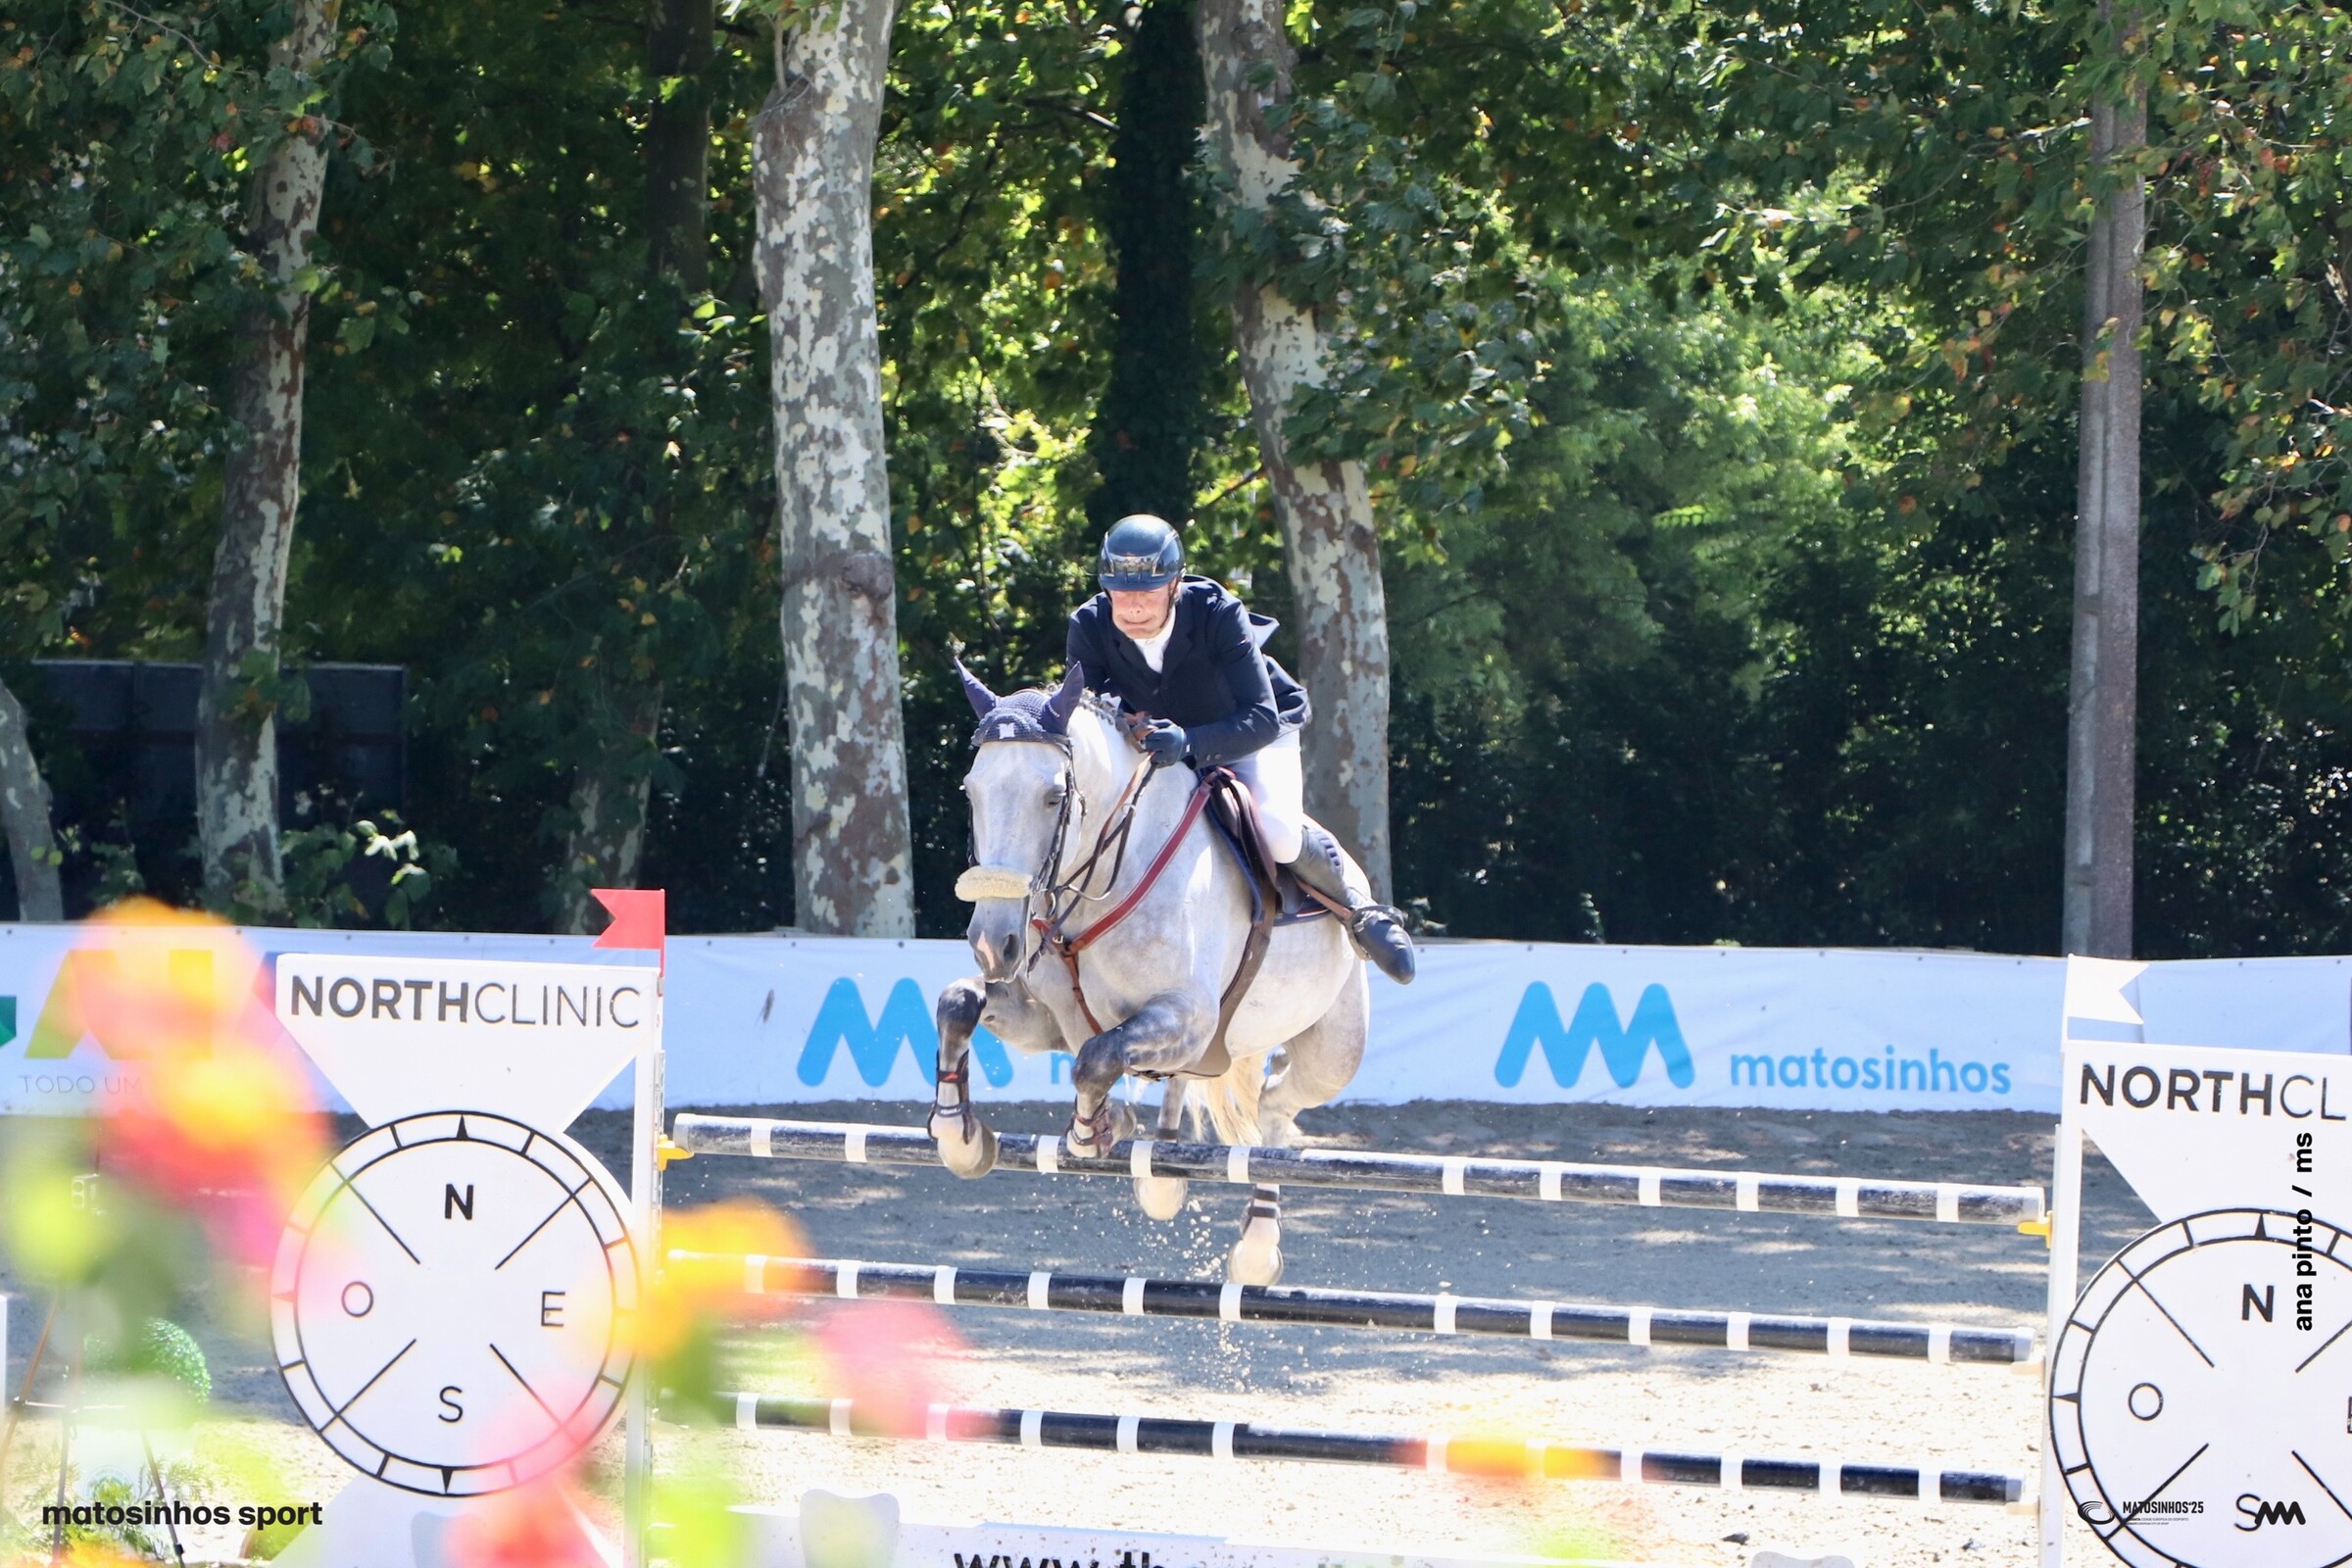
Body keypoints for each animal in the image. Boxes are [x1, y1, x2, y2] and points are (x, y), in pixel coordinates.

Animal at [926, 661, 1370, 1285]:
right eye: (972, 790)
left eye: (1054, 796)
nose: (993, 944)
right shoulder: (1046, 1021)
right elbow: (958, 1003)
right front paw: (958, 1136)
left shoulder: (1189, 1016)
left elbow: (1096, 1059)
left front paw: (1096, 1130)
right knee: (1197, 1087)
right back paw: (1162, 1175)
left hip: (1333, 1051)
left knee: (1276, 1105)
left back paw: (1256, 1247)